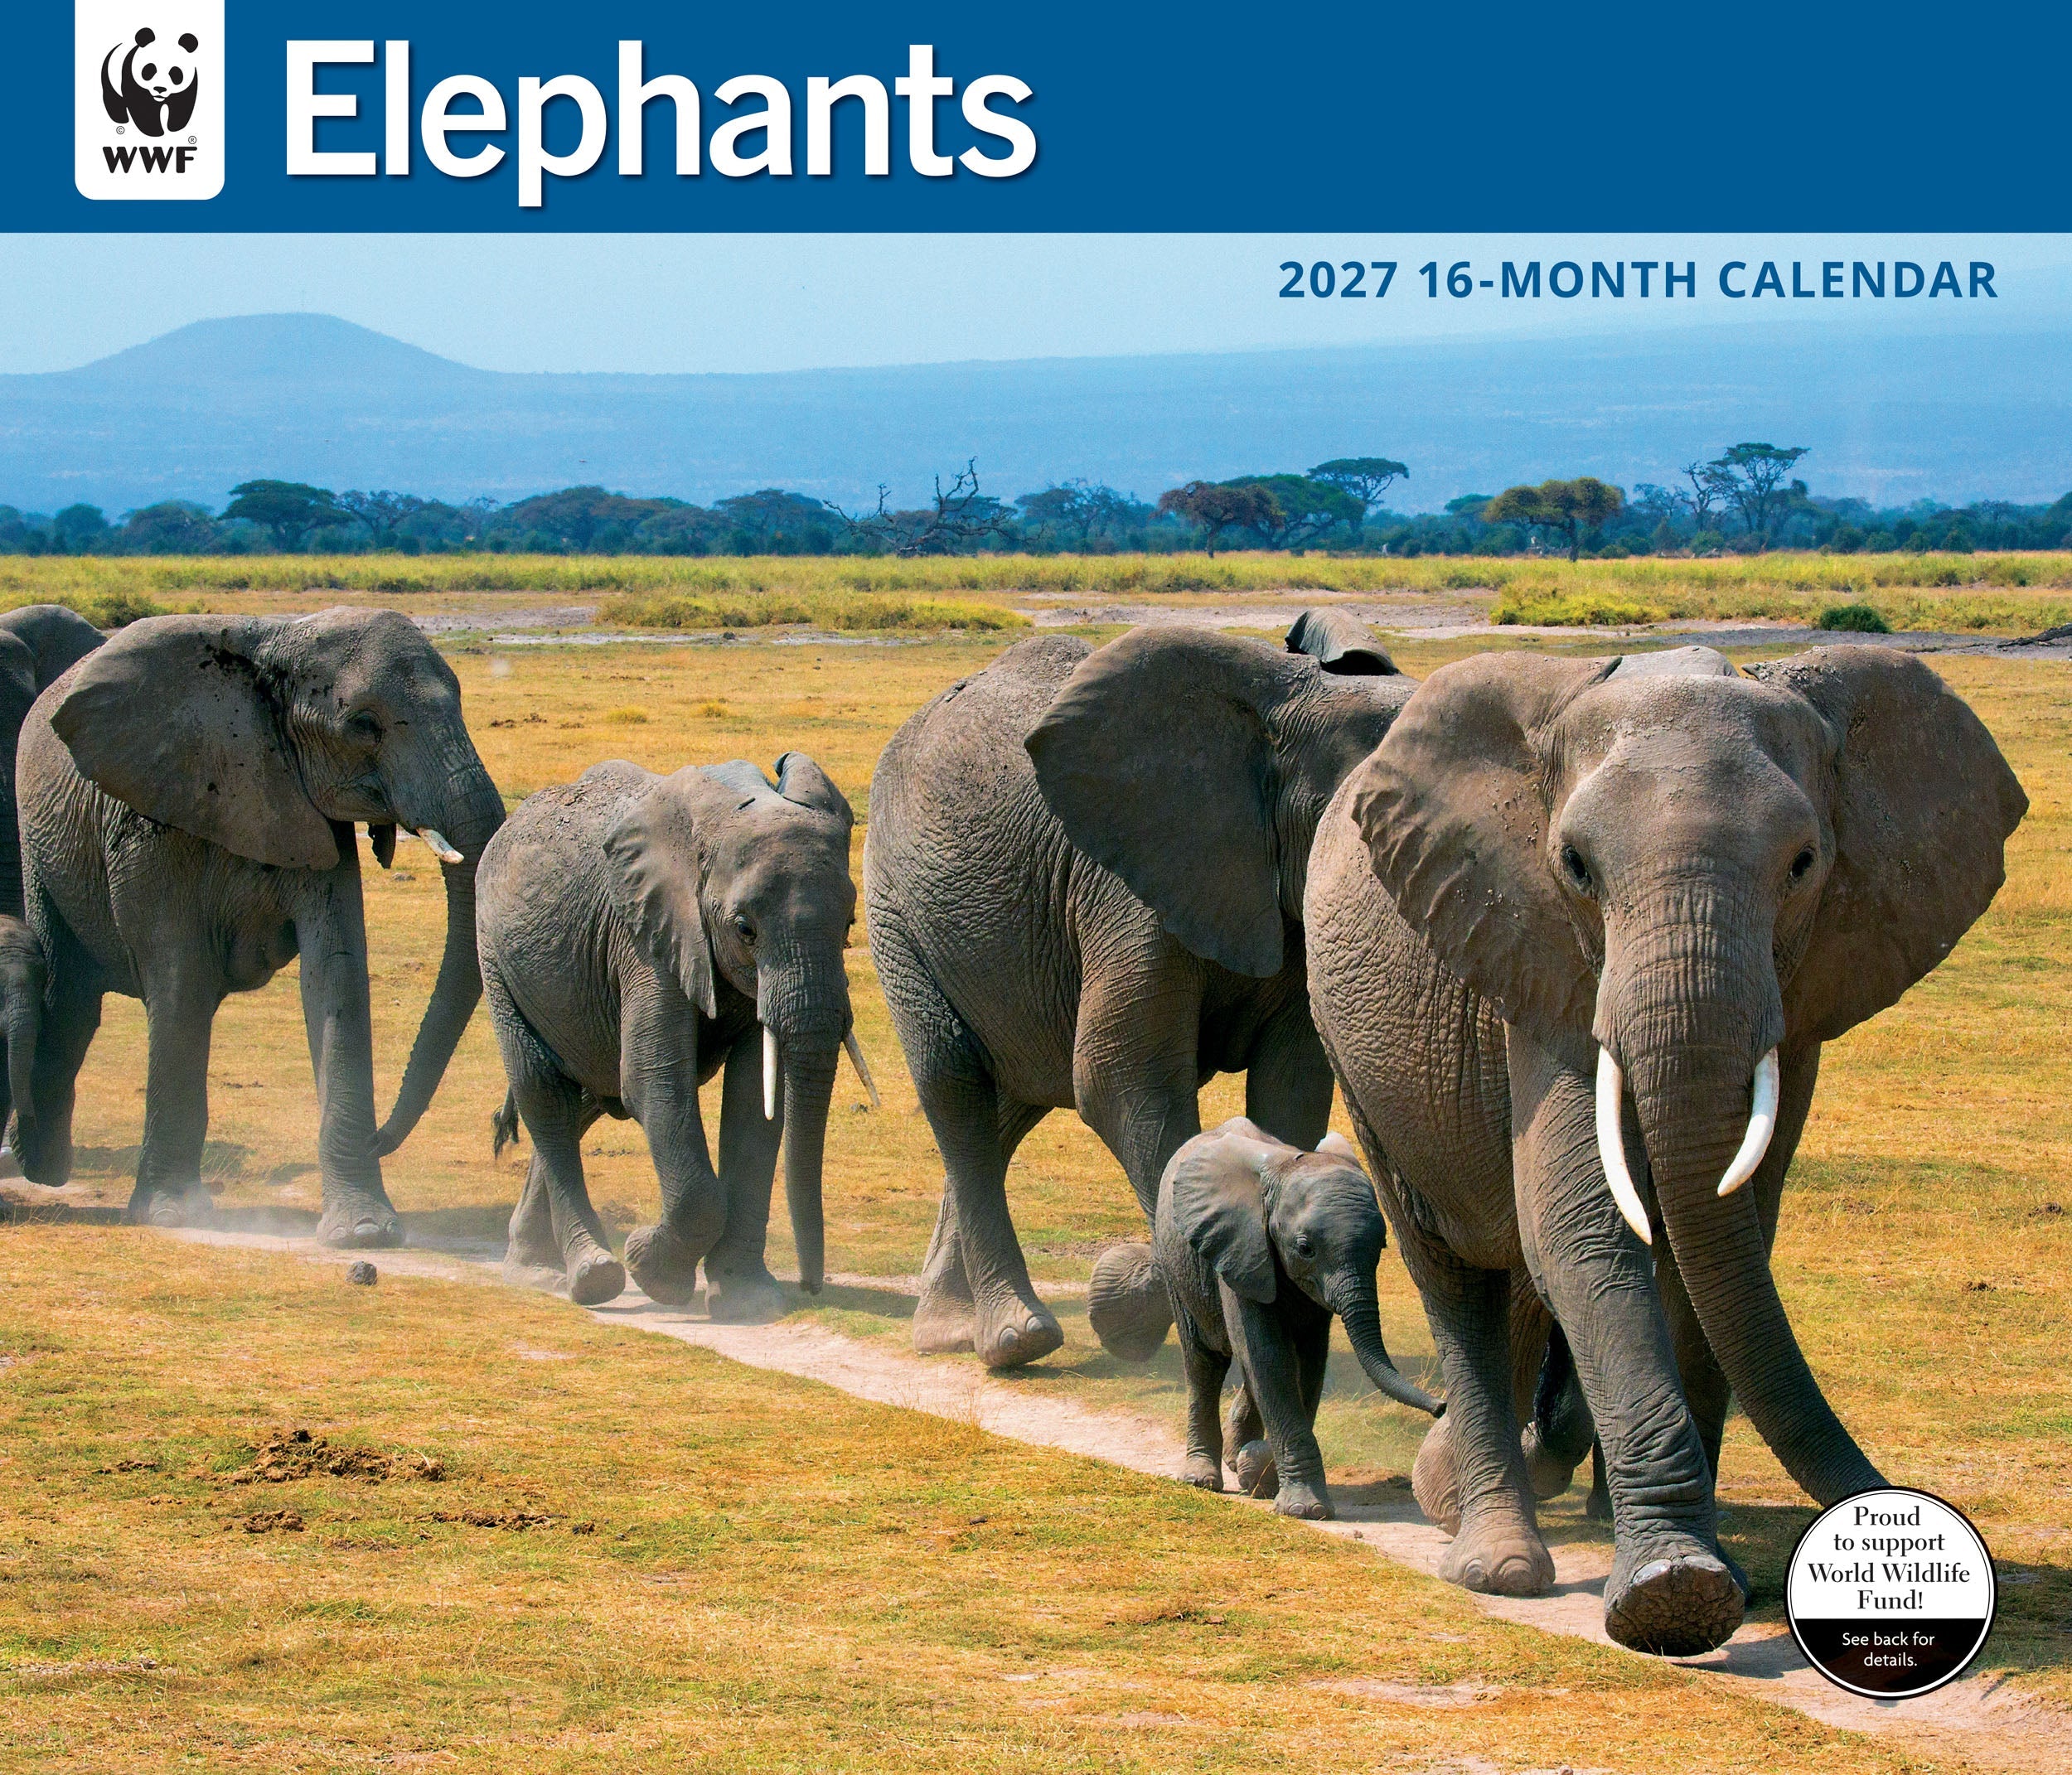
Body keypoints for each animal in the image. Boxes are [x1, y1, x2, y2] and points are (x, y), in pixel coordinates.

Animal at [16, 608, 507, 1246]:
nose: (380, 1138)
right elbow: (180, 981)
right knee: (69, 1000)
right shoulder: (149, 821)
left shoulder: (313, 815)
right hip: (36, 844)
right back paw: (37, 1171)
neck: (275, 641)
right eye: (364, 727)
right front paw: (173, 1214)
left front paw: (364, 1231)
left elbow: (336, 975)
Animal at [476, 753, 873, 1315]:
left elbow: (755, 1100)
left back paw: (535, 1271)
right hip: (496, 957)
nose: (811, 1287)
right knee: (544, 1094)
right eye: (745, 929)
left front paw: (746, 1301)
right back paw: (591, 1276)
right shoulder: (644, 935)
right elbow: (653, 1080)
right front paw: (653, 1270)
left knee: (584, 1100)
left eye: (848, 924)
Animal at [862, 610, 1420, 1371]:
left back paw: (947, 1330)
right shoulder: (1127, 890)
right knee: (956, 1087)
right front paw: (1129, 1303)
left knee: (1011, 1103)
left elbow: (1291, 1089)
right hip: (896, 909)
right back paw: (1012, 1340)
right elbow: (1123, 1082)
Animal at [1155, 1115, 1441, 1519]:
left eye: (1381, 1246)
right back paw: (1202, 1478)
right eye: (1305, 1249)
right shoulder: (1243, 1247)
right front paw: (1305, 1509)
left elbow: (1307, 1362)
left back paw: (1239, 1459)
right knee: (1203, 1361)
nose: (1441, 1407)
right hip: (1176, 1264)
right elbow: (1269, 1359)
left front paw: (1263, 1477)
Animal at [1304, 643, 2025, 1656]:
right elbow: (1587, 1233)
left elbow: (1718, 1238)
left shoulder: (1798, 1000)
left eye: (1804, 864)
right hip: (1356, 1056)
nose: (1916, 1526)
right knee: (1451, 1270)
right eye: (1574, 865)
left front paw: (1705, 1575)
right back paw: (1494, 1559)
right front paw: (1671, 1595)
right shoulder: (1544, 961)